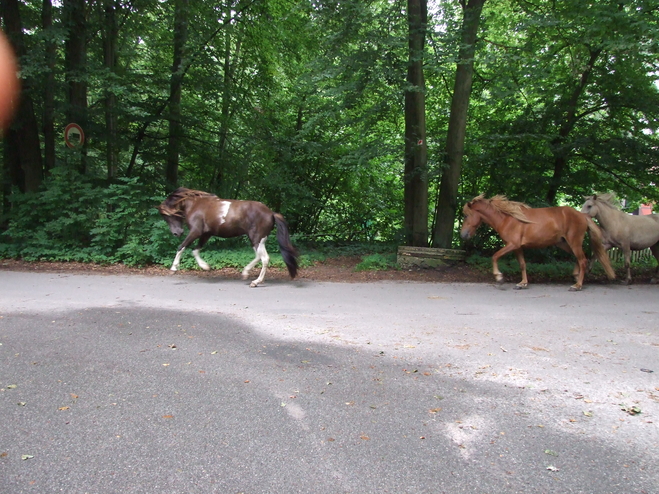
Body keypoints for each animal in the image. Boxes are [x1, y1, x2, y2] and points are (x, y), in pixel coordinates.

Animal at [159, 189, 298, 290]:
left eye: (167, 216)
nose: (177, 233)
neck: (195, 205)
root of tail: (271, 213)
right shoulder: (206, 234)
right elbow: (195, 250)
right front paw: (205, 267)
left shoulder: (196, 232)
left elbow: (181, 247)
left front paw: (173, 268)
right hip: (257, 240)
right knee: (259, 256)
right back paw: (245, 273)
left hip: (256, 238)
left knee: (265, 258)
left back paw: (255, 282)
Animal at [462, 195, 616, 292]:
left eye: (466, 215)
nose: (462, 235)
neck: (507, 218)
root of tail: (582, 215)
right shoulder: (517, 247)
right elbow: (522, 264)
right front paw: (522, 284)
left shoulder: (512, 244)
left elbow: (494, 256)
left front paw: (499, 277)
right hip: (563, 243)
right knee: (580, 259)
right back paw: (576, 277)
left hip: (574, 242)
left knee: (583, 260)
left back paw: (577, 286)